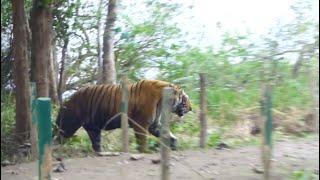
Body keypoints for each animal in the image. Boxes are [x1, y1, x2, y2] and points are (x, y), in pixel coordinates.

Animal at [54, 79, 192, 153]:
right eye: (185, 98)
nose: (191, 108)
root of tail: (66, 100)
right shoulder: (141, 124)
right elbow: (142, 141)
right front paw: (144, 152)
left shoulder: (154, 125)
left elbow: (168, 134)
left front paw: (174, 145)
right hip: (68, 125)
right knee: (56, 137)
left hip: (93, 128)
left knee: (96, 143)